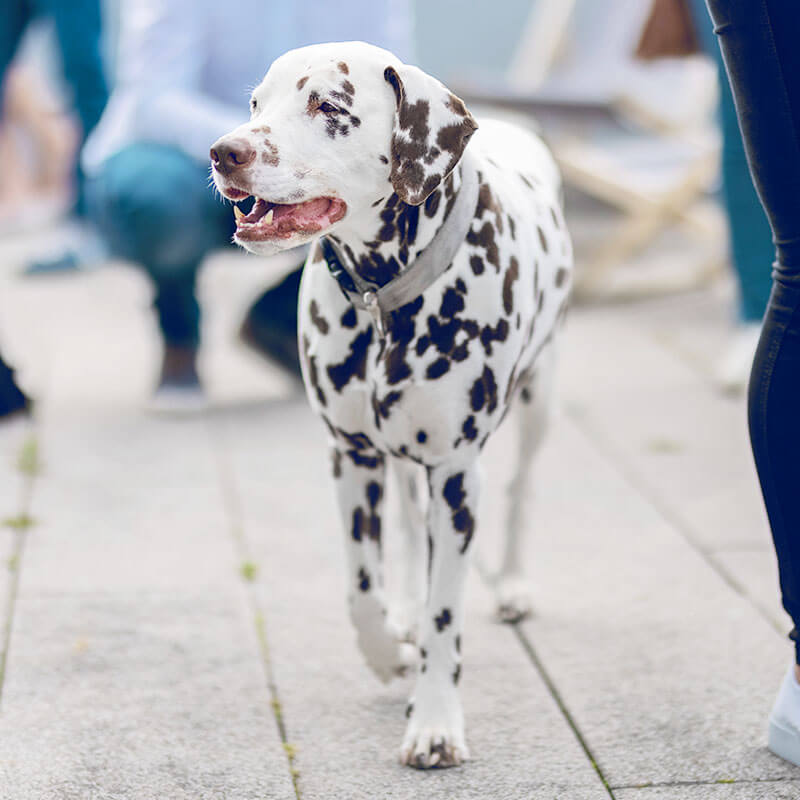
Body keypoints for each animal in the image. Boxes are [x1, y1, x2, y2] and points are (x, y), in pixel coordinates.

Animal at [212, 42, 572, 768]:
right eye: (257, 103)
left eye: (328, 105)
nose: (223, 152)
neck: (383, 300)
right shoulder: (351, 458)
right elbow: (360, 588)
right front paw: (387, 652)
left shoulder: (458, 477)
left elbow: (445, 615)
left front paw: (434, 723)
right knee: (407, 528)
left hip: (539, 399)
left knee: (521, 487)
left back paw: (513, 586)